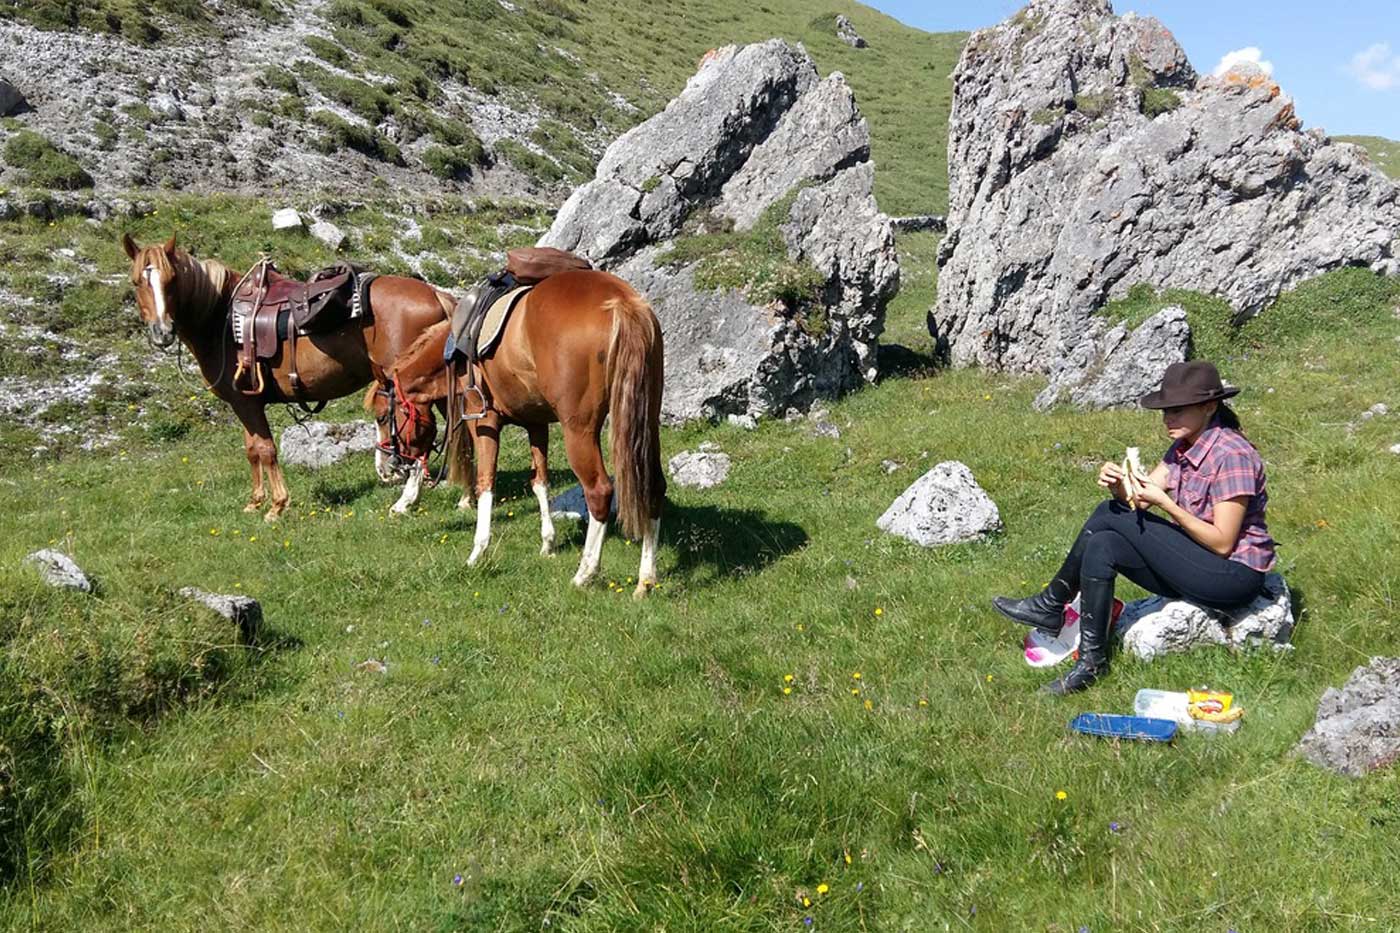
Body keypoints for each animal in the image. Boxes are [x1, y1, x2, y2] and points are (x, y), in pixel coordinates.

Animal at [123, 232, 462, 518]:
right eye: (137, 282)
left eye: (171, 280)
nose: (162, 331)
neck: (220, 318)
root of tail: (437, 295)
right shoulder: (243, 404)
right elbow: (252, 450)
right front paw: (255, 502)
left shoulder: (246, 402)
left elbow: (266, 449)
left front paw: (277, 506)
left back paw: (407, 501)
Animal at [392, 267, 669, 596]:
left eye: (386, 416)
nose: (393, 464)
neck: (455, 354)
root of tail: (622, 303)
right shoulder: (536, 424)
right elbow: (540, 483)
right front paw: (548, 543)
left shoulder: (484, 423)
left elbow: (486, 483)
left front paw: (478, 552)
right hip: (647, 422)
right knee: (653, 487)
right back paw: (646, 580)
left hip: (579, 430)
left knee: (599, 491)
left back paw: (585, 573)